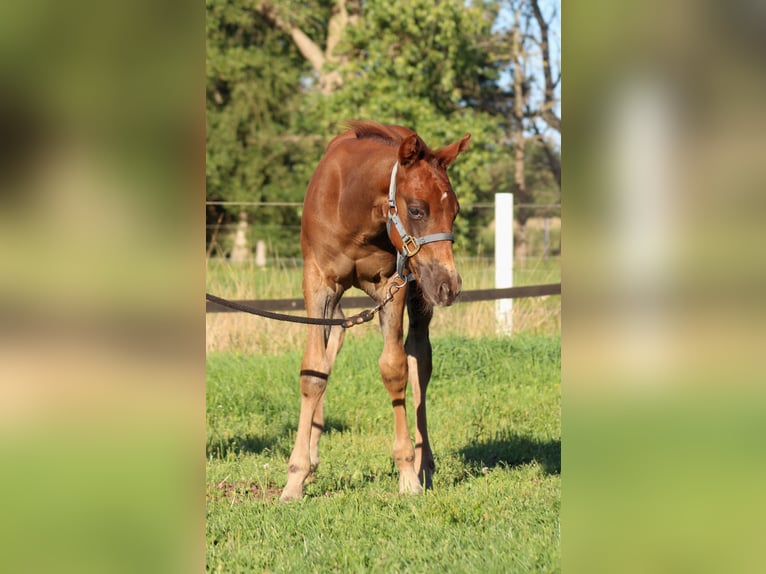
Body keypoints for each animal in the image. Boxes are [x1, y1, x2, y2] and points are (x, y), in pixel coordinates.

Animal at [280, 121, 471, 502]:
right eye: (417, 210)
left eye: (455, 211)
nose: (450, 285)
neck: (351, 207)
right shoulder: (317, 282)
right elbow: (314, 371)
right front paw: (295, 477)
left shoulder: (391, 285)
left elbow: (395, 370)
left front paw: (408, 475)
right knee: (334, 346)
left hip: (419, 293)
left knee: (419, 361)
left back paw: (424, 465)